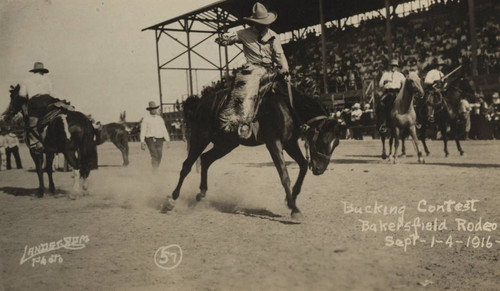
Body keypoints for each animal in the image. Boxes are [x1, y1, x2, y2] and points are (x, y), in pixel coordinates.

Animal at [162, 75, 342, 219]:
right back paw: (172, 199)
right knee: (187, 165)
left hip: (226, 144)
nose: (320, 169)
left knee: (205, 159)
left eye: (336, 143)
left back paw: (201, 194)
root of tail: (201, 102)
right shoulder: (274, 143)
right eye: (323, 140)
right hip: (200, 137)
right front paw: (295, 209)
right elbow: (284, 175)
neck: (287, 106)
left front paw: (291, 201)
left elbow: (303, 165)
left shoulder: (290, 142)